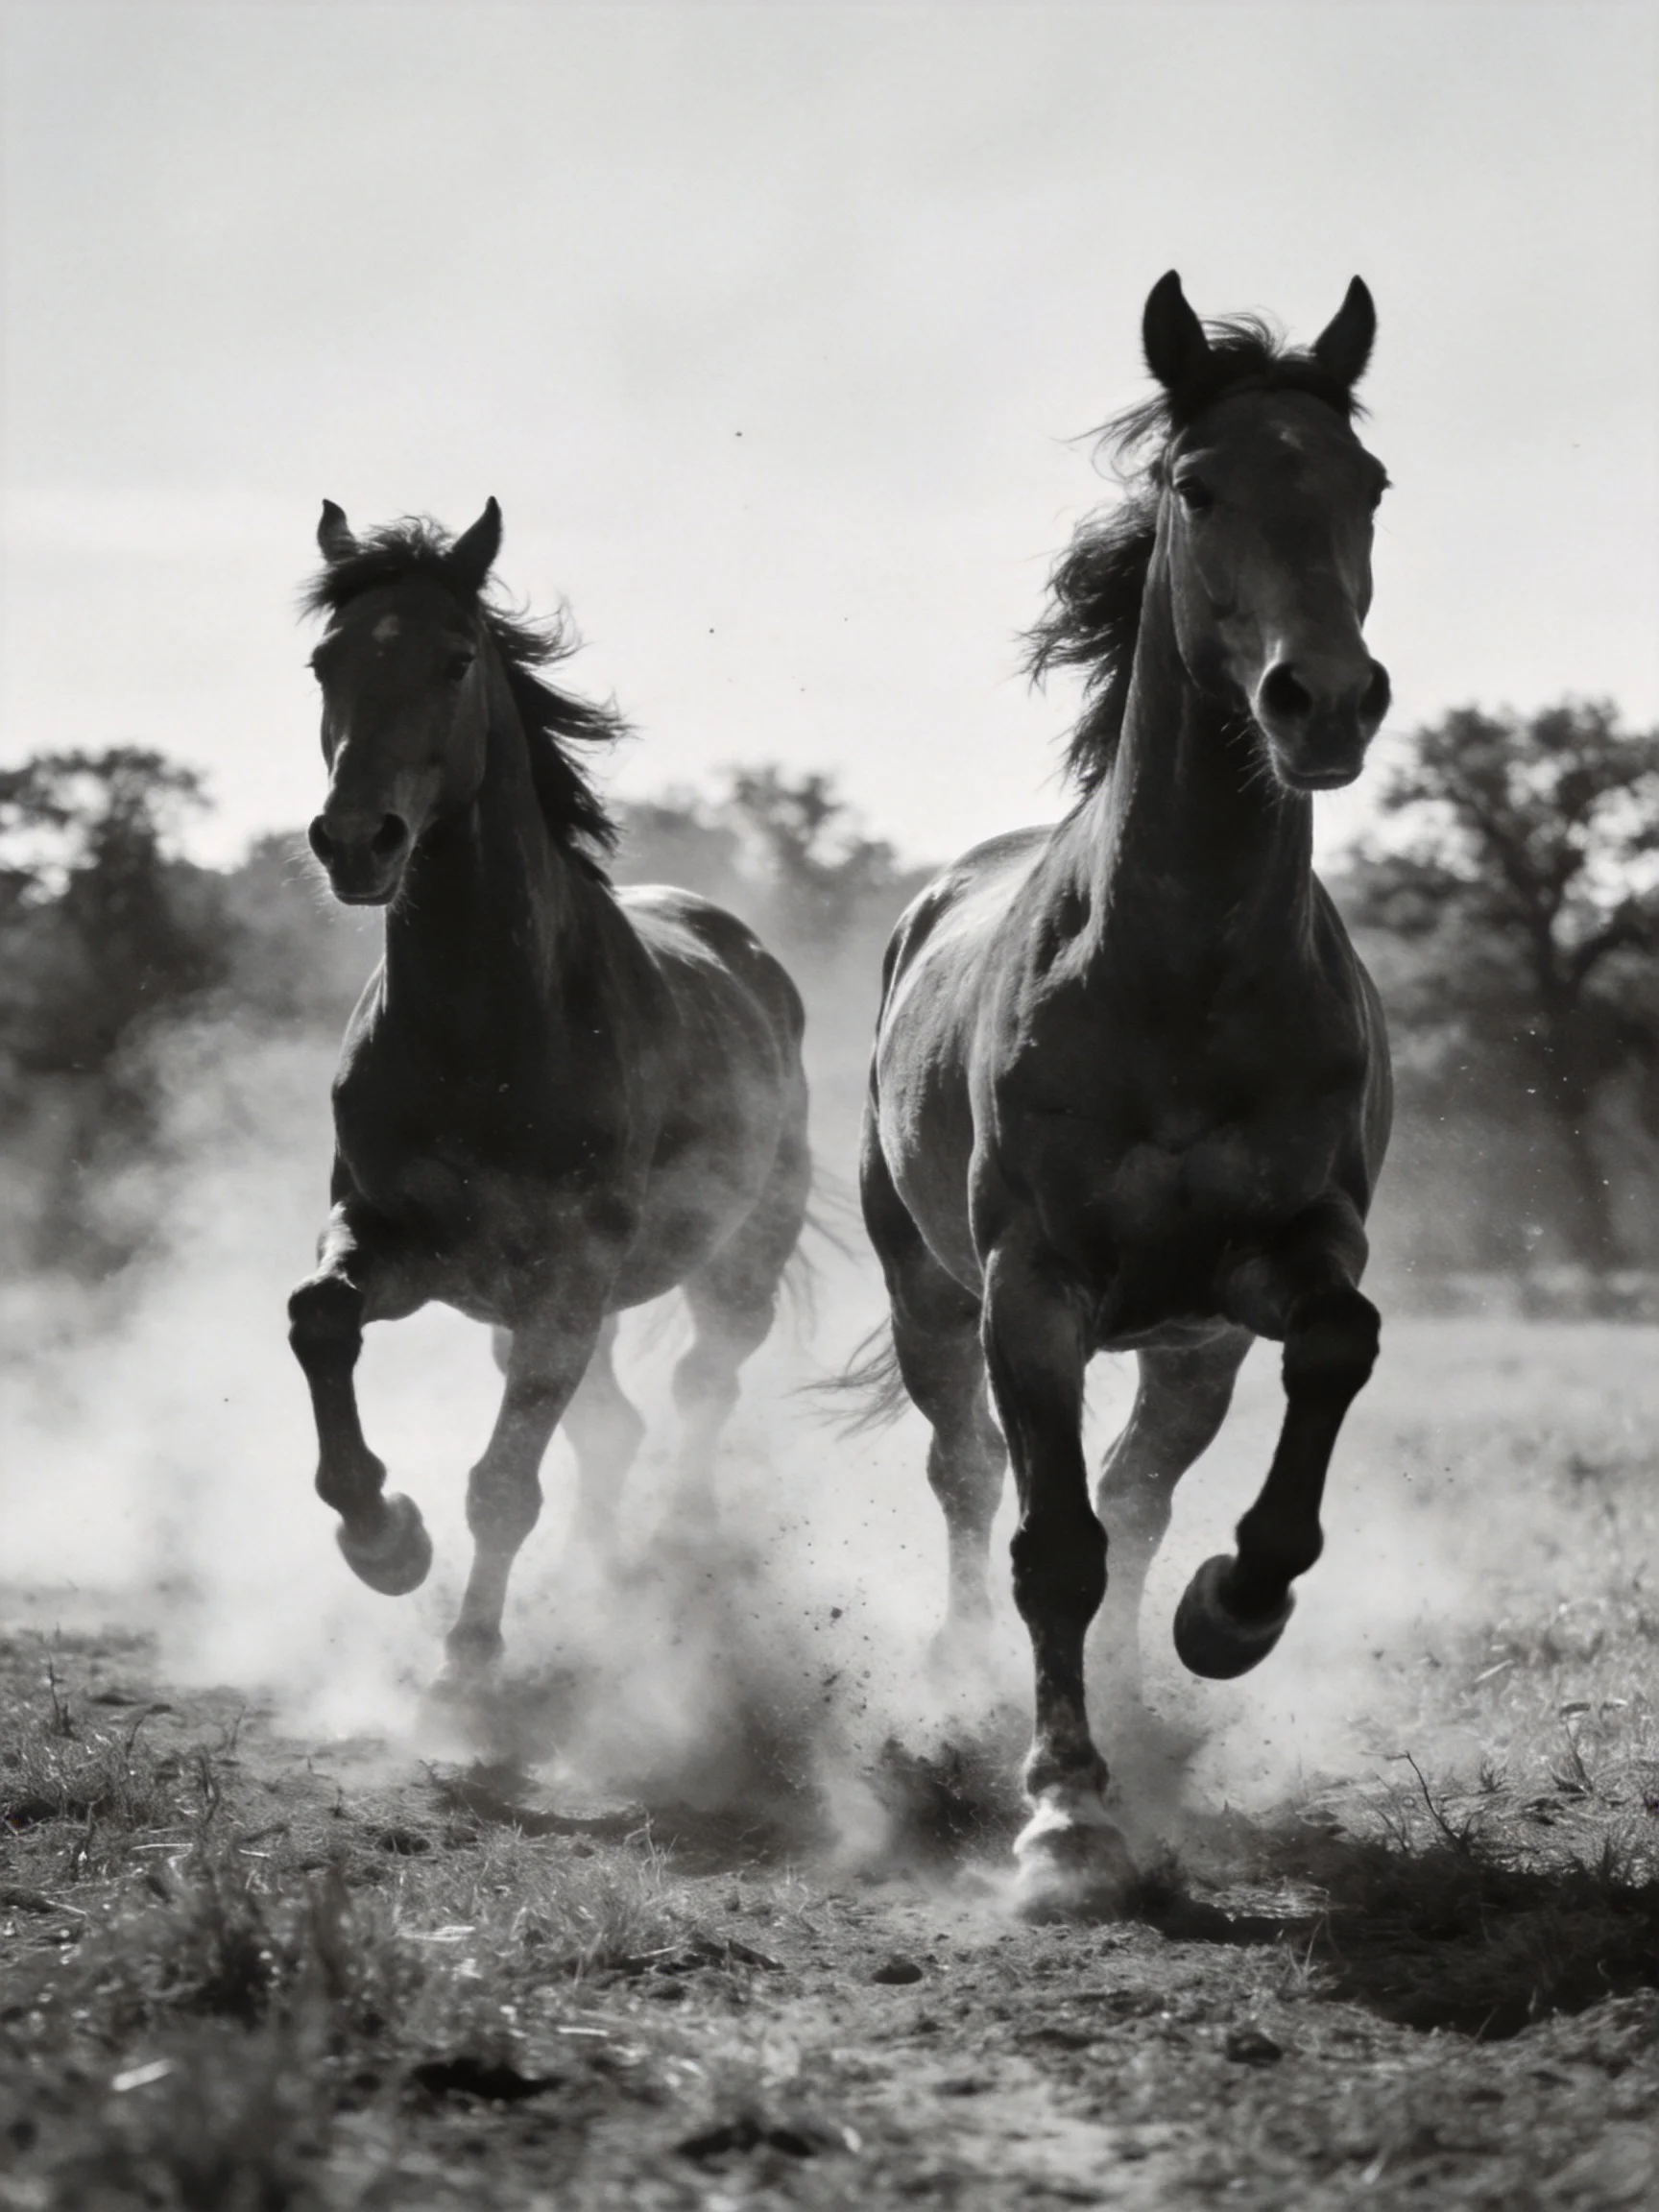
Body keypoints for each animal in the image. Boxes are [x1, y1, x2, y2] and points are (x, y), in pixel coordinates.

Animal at [286, 500, 811, 1702]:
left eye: (455, 658)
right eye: (327, 660)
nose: (356, 840)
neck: (484, 1033)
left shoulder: (568, 1273)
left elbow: (504, 1481)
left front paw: (468, 1662)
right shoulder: (406, 1246)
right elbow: (320, 1318)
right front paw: (383, 1538)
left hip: (735, 1265)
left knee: (701, 1391)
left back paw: (679, 1556)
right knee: (613, 1427)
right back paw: (603, 1581)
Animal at [859, 272, 1394, 1915]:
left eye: (1367, 483)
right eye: (1198, 485)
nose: (1325, 702)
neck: (1182, 974)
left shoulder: (1268, 1264)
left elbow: (1333, 1352)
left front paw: (1235, 1611)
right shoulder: (1029, 1290)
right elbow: (1052, 1545)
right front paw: (1062, 1815)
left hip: (1188, 1349)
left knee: (1144, 1489)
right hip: (926, 1295)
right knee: (970, 1479)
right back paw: (968, 1690)